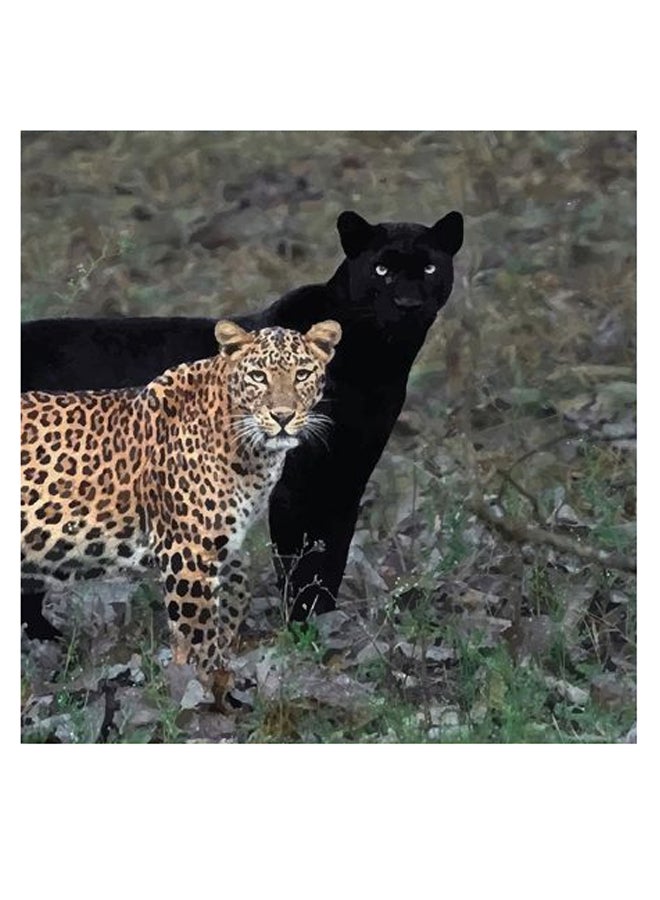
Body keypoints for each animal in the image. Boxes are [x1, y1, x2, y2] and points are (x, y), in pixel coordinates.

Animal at [21, 319, 341, 687]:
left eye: (302, 374)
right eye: (258, 376)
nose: (283, 416)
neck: (251, 452)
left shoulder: (218, 540)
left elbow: (237, 588)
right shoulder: (187, 551)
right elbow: (200, 634)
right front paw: (211, 685)